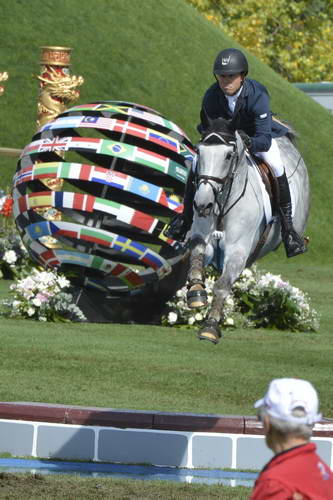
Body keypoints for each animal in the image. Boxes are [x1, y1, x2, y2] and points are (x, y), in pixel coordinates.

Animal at [187, 118, 308, 344]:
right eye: (199, 151)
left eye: (228, 156)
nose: (202, 204)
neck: (222, 202)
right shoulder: (202, 238)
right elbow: (196, 253)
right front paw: (196, 293)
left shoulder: (238, 251)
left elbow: (222, 285)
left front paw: (210, 327)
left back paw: (293, 240)